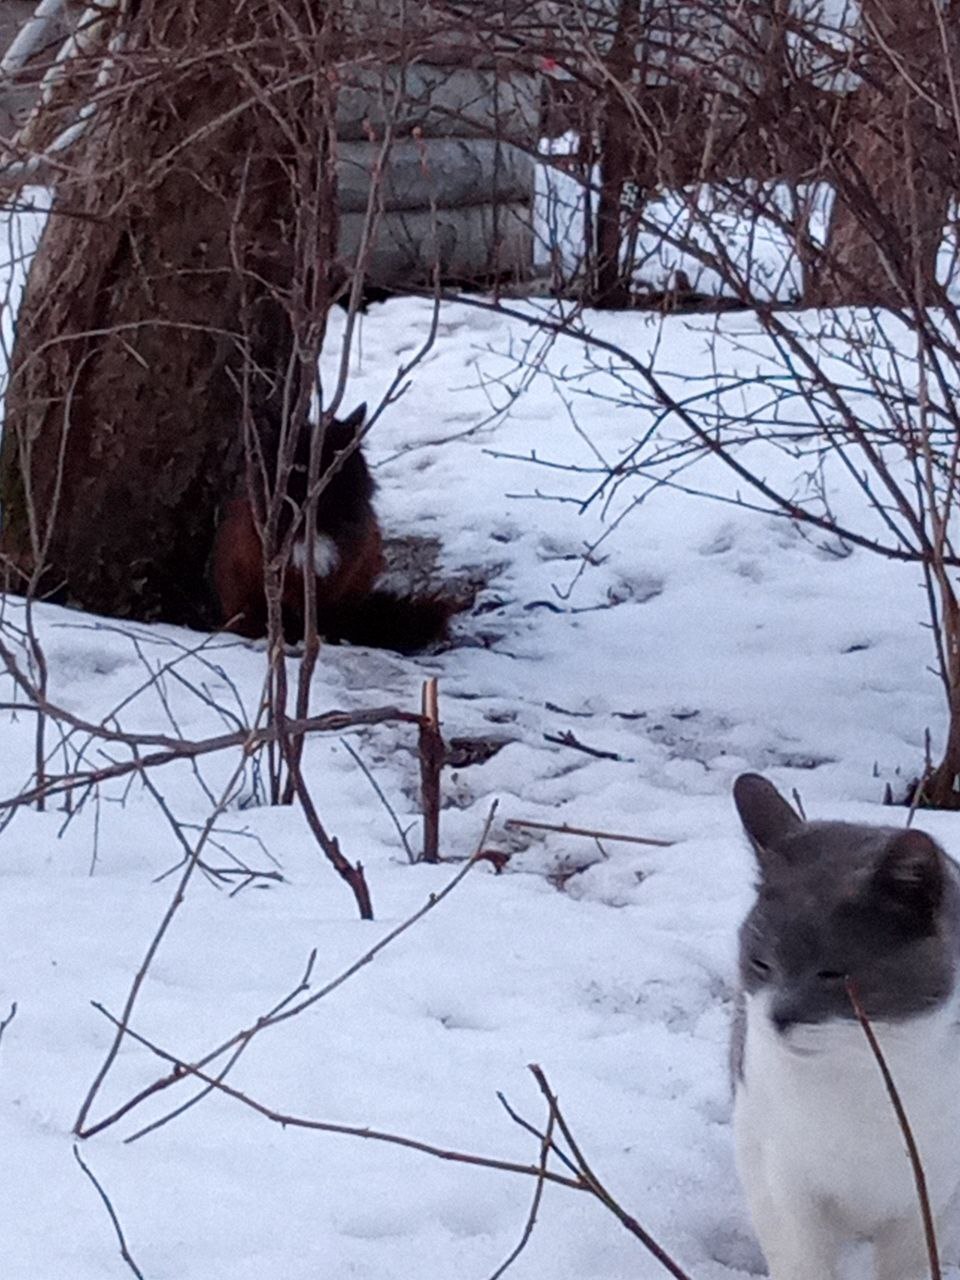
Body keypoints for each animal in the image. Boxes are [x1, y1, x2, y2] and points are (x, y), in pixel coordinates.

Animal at [727, 773, 960, 1274]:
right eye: (760, 963)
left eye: (833, 974)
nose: (778, 1016)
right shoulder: (786, 1180)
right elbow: (802, 1258)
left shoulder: (932, 1187)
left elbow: (909, 1260)